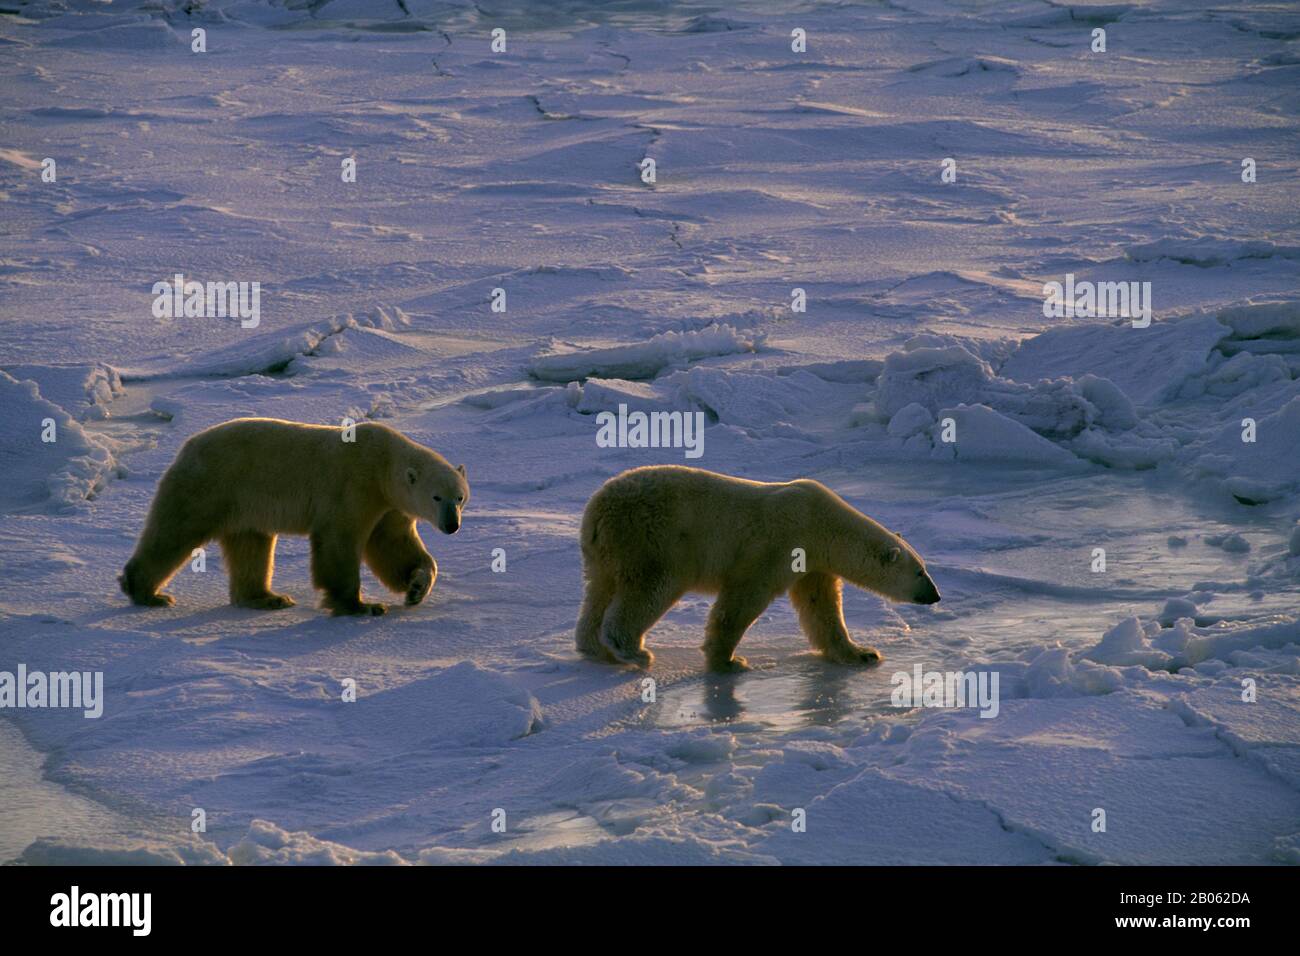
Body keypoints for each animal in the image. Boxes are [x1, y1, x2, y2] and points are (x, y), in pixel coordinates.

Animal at [120, 418, 468, 616]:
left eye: (460, 497)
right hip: (211, 485)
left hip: (244, 504)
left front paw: (416, 587)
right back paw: (147, 592)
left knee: (251, 545)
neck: (383, 462)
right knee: (175, 532)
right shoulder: (355, 486)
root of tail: (186, 446)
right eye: (437, 497)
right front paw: (361, 605)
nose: (452, 525)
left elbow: (394, 546)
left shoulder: (389, 506)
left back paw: (267, 598)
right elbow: (340, 540)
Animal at [574, 465, 939, 672]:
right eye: (920, 572)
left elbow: (821, 608)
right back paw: (633, 652)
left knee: (598, 591)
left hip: (604, 553)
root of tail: (596, 510)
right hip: (652, 540)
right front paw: (728, 661)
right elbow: (743, 598)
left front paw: (862, 653)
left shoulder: (813, 564)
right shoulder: (779, 543)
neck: (822, 524)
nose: (935, 595)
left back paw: (595, 649)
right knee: (651, 588)